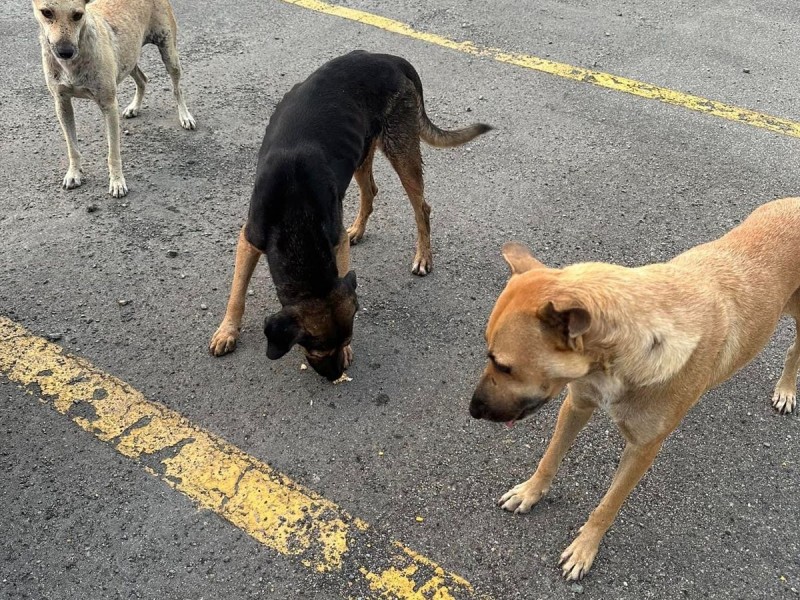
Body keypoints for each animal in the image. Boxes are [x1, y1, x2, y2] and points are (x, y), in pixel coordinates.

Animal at [34, 0, 197, 198]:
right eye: (47, 12)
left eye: (78, 15)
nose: (65, 51)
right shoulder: (62, 104)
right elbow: (72, 147)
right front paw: (74, 173)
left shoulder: (109, 106)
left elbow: (113, 153)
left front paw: (117, 182)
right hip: (128, 59)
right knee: (142, 79)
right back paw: (134, 107)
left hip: (169, 53)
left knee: (176, 88)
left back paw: (185, 116)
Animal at [209, 50, 490, 380]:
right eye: (316, 350)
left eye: (344, 341)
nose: (335, 375)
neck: (295, 218)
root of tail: (390, 59)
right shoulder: (250, 237)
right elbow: (237, 292)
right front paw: (227, 331)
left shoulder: (334, 240)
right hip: (360, 152)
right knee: (371, 190)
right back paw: (359, 228)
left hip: (400, 149)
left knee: (421, 207)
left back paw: (423, 256)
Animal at [468, 198, 800, 580]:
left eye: (504, 366)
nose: (472, 410)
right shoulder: (577, 404)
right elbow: (550, 457)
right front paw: (531, 491)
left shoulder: (643, 449)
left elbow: (607, 505)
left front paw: (585, 547)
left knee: (794, 351)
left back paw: (787, 388)